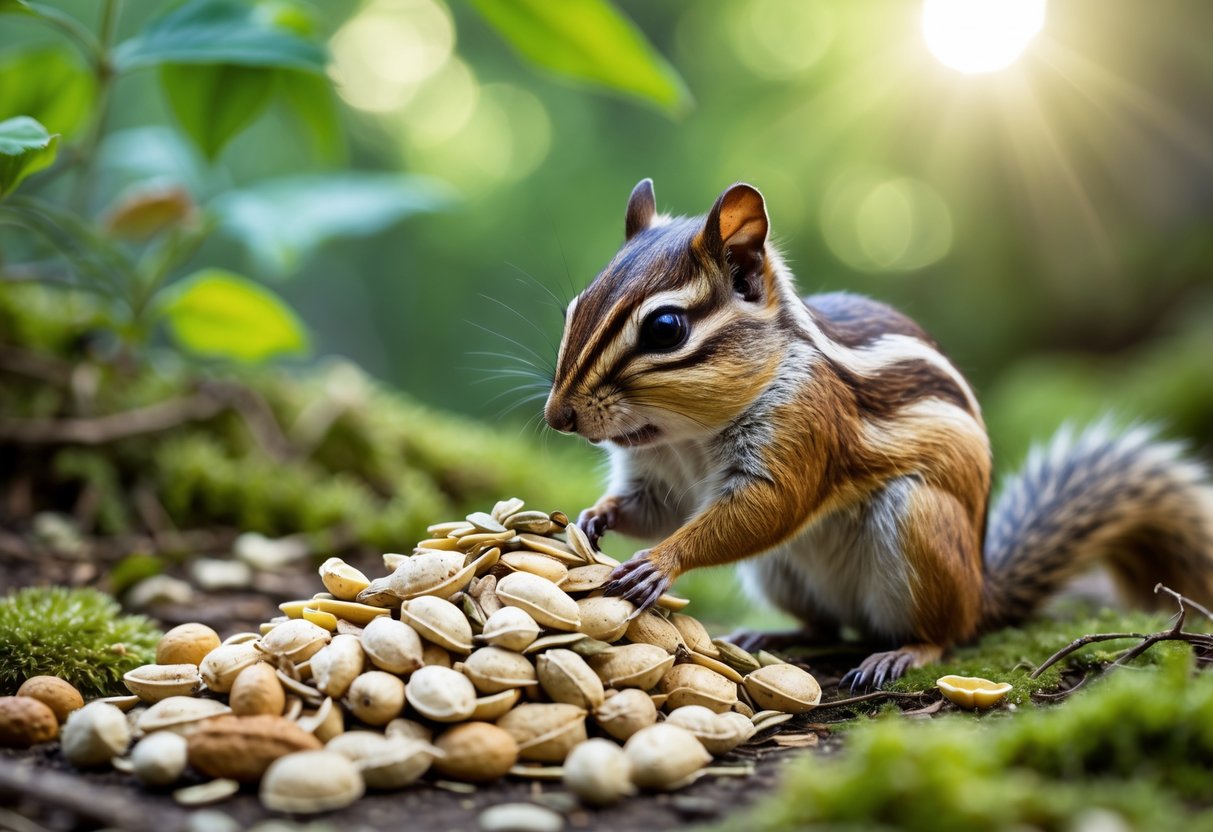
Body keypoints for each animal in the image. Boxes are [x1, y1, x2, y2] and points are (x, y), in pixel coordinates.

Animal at [543, 178, 1213, 689]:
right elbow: (652, 507)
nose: (558, 417)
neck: (686, 436)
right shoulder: (658, 475)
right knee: (826, 626)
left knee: (944, 635)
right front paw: (594, 518)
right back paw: (771, 631)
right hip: (782, 572)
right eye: (573, 309)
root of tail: (981, 591)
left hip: (919, 525)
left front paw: (659, 562)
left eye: (665, 328)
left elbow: (769, 508)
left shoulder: (805, 425)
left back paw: (901, 652)